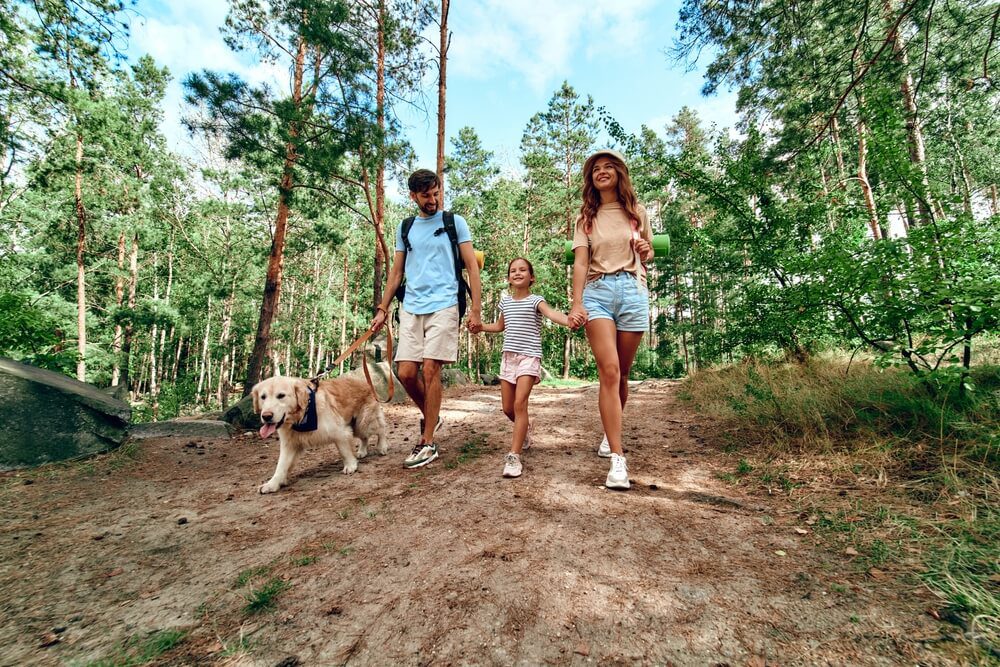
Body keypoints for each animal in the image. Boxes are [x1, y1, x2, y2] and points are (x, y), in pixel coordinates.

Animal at [250, 378, 386, 494]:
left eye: (281, 395)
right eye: (263, 397)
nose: (266, 416)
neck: (302, 416)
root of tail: (364, 382)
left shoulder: (339, 431)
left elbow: (344, 451)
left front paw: (350, 465)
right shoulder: (289, 444)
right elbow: (281, 466)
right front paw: (272, 484)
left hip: (364, 423)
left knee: (382, 428)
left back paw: (382, 447)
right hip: (357, 427)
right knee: (365, 437)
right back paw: (362, 451)